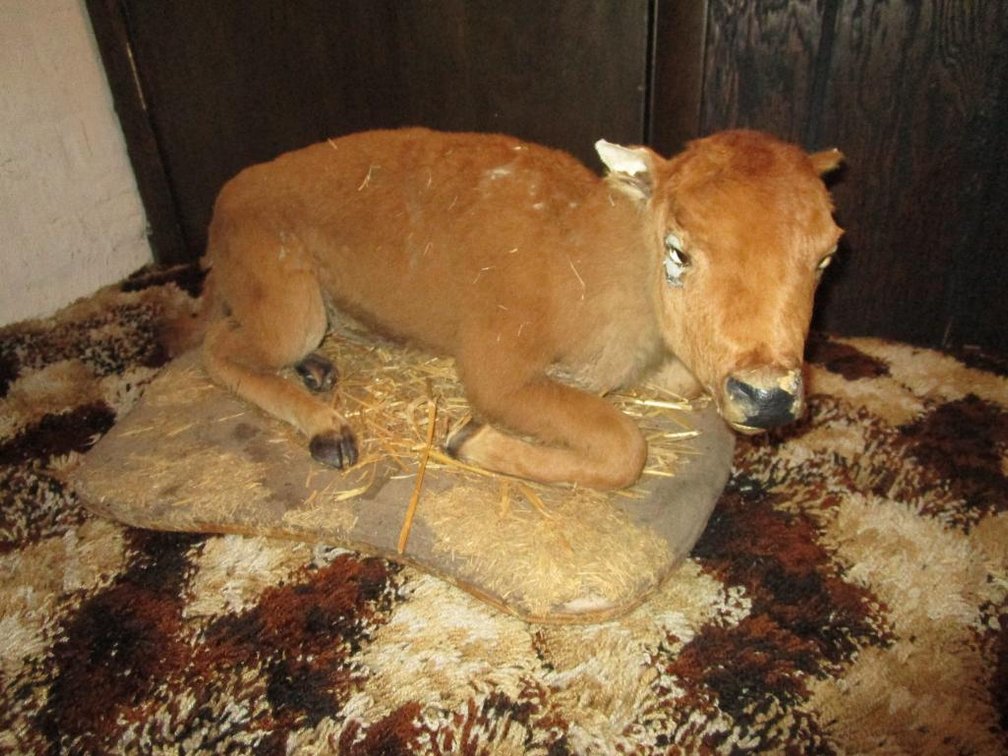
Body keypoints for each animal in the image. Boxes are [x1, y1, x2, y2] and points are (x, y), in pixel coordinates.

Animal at [197, 127, 843, 490]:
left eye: (827, 255)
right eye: (678, 250)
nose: (767, 398)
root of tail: (226, 199)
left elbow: (678, 389)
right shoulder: (498, 373)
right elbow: (625, 446)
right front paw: (467, 438)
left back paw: (319, 371)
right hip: (290, 309)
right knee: (217, 347)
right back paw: (328, 429)